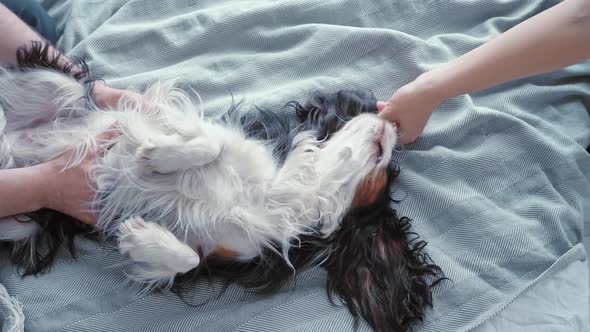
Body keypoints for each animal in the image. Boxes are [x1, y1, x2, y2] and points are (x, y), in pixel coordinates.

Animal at [0, 42, 446, 332]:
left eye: (387, 177)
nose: (392, 122)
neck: (295, 187)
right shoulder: (224, 136)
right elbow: (207, 142)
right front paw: (157, 156)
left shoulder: (227, 249)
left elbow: (187, 260)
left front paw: (140, 238)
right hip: (56, 86)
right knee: (56, 91)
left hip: (29, 220)